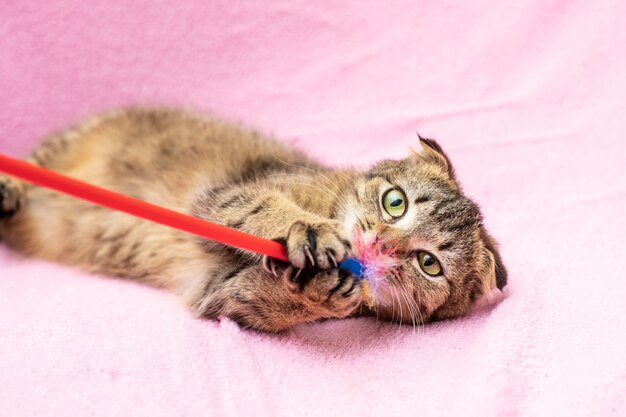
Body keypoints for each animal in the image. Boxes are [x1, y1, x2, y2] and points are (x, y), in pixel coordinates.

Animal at [0, 106, 504, 332]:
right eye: (395, 203)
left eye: (428, 264)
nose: (378, 244)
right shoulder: (227, 195)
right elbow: (267, 209)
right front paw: (312, 233)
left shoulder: (220, 294)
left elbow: (270, 302)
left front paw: (324, 291)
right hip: (58, 150)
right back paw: (9, 189)